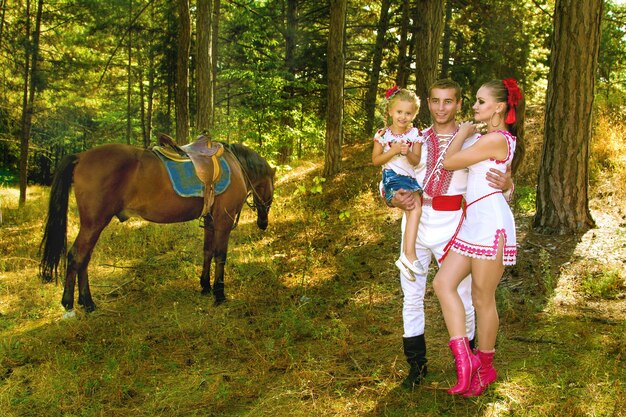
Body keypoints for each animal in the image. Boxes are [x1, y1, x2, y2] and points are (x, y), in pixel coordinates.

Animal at [39, 140, 272, 312]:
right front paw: (219, 293)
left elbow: (207, 252)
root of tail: (81, 156)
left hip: (92, 225)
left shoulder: (210, 221)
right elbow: (220, 256)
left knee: (83, 258)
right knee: (77, 256)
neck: (236, 165)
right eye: (271, 187)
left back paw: (85, 302)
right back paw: (73, 303)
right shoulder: (223, 220)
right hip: (94, 223)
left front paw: (205, 286)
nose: (263, 223)